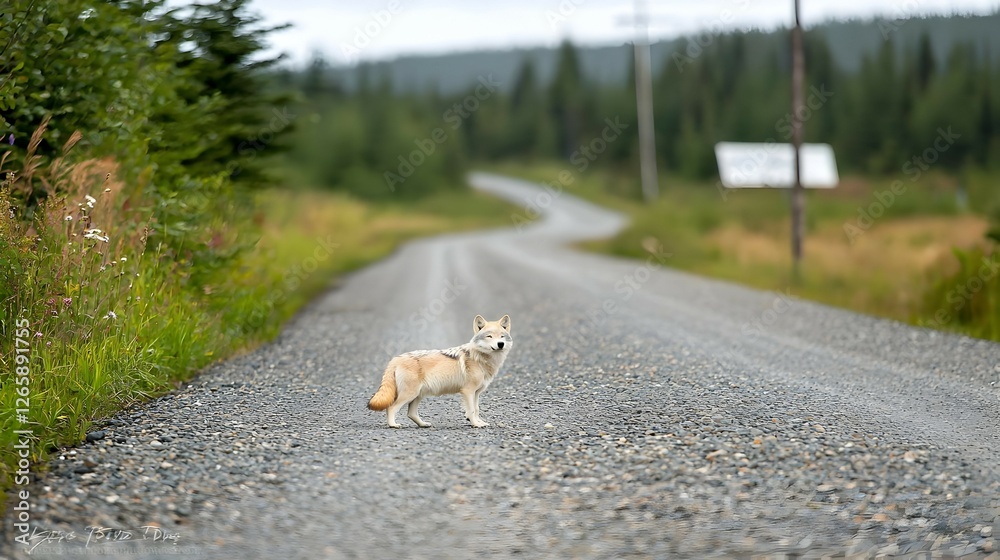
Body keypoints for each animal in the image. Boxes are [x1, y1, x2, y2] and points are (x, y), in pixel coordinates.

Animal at [368, 315, 512, 428]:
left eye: (502, 336)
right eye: (489, 336)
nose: (500, 344)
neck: (480, 358)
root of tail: (395, 359)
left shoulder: (476, 393)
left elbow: (476, 409)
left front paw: (480, 423)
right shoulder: (468, 391)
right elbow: (471, 410)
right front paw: (475, 424)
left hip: (418, 395)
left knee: (411, 413)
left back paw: (423, 424)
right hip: (410, 394)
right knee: (391, 407)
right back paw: (393, 425)